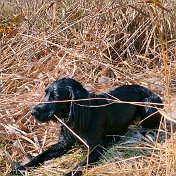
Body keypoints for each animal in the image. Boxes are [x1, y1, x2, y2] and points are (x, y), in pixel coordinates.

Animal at [15, 78, 163, 176]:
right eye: (45, 93)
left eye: (55, 97)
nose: (32, 112)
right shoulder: (63, 143)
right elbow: (40, 156)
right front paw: (22, 167)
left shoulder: (96, 148)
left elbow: (80, 165)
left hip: (148, 105)